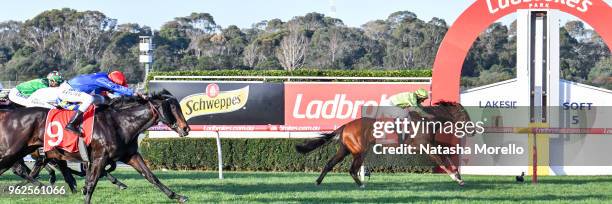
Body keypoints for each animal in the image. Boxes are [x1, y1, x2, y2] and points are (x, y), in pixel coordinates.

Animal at [0, 91, 190, 204]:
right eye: (173, 108)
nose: (186, 128)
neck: (120, 123)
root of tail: (9, 114)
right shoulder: (100, 157)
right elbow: (92, 182)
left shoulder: (131, 156)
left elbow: (151, 176)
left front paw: (177, 196)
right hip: (13, 151)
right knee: (16, 168)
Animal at [296, 101, 468, 187]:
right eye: (463, 113)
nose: (472, 129)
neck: (427, 120)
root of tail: (345, 126)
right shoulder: (425, 146)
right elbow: (441, 160)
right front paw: (456, 178)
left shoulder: (430, 144)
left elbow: (445, 156)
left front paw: (458, 175)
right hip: (359, 151)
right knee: (352, 169)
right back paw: (361, 185)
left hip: (345, 149)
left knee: (330, 163)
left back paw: (318, 182)